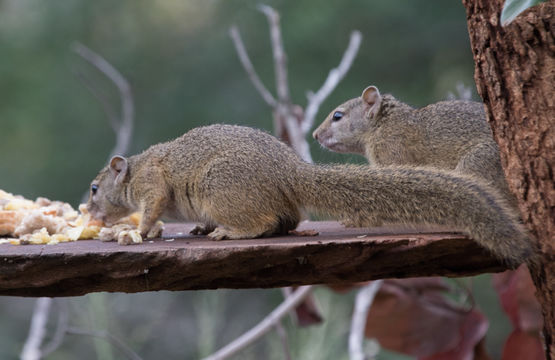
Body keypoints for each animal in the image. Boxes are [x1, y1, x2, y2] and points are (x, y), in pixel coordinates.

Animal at [87, 124, 536, 268]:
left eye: (94, 188)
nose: (90, 212)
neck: (134, 171)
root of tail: (290, 171)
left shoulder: (152, 184)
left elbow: (151, 208)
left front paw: (144, 231)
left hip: (222, 188)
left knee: (263, 223)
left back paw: (230, 232)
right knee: (285, 221)